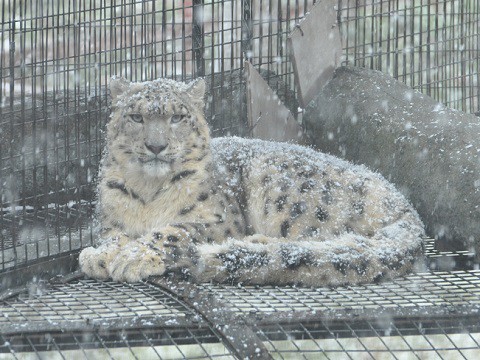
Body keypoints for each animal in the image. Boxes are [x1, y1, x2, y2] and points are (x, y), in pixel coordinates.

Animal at [78, 76, 424, 286]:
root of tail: (405, 206)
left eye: (177, 117)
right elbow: (114, 237)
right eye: (136, 117)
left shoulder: (219, 221)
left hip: (289, 196)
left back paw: (257, 244)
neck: (148, 193)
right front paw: (99, 255)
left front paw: (132, 257)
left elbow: (174, 230)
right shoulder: (111, 223)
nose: (156, 146)